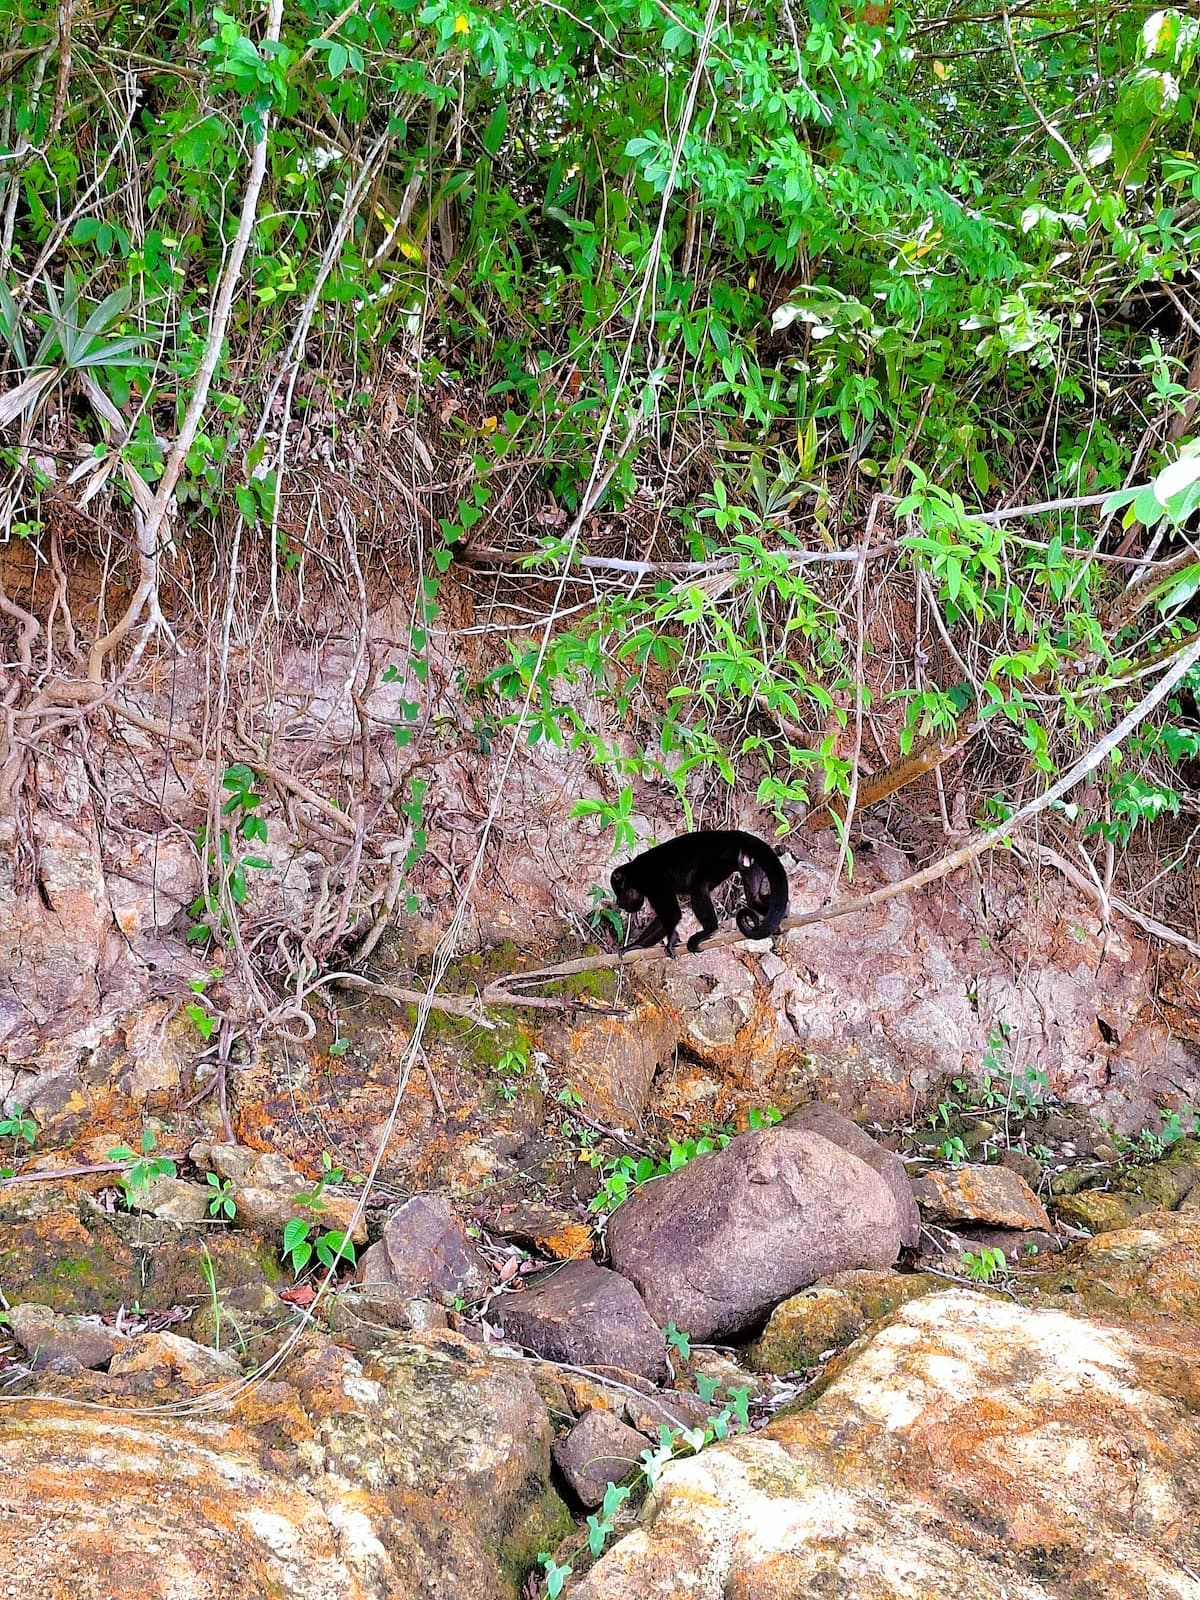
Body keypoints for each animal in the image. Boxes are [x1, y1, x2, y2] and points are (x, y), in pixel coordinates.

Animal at [610, 829, 789, 957]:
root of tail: (734, 835)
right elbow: (663, 919)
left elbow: (673, 914)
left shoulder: (654, 883)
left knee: (698, 889)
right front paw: (636, 946)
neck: (635, 875)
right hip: (750, 863)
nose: (618, 903)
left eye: (619, 894)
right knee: (753, 897)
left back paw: (708, 930)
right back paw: (785, 910)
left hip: (720, 859)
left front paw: (669, 940)